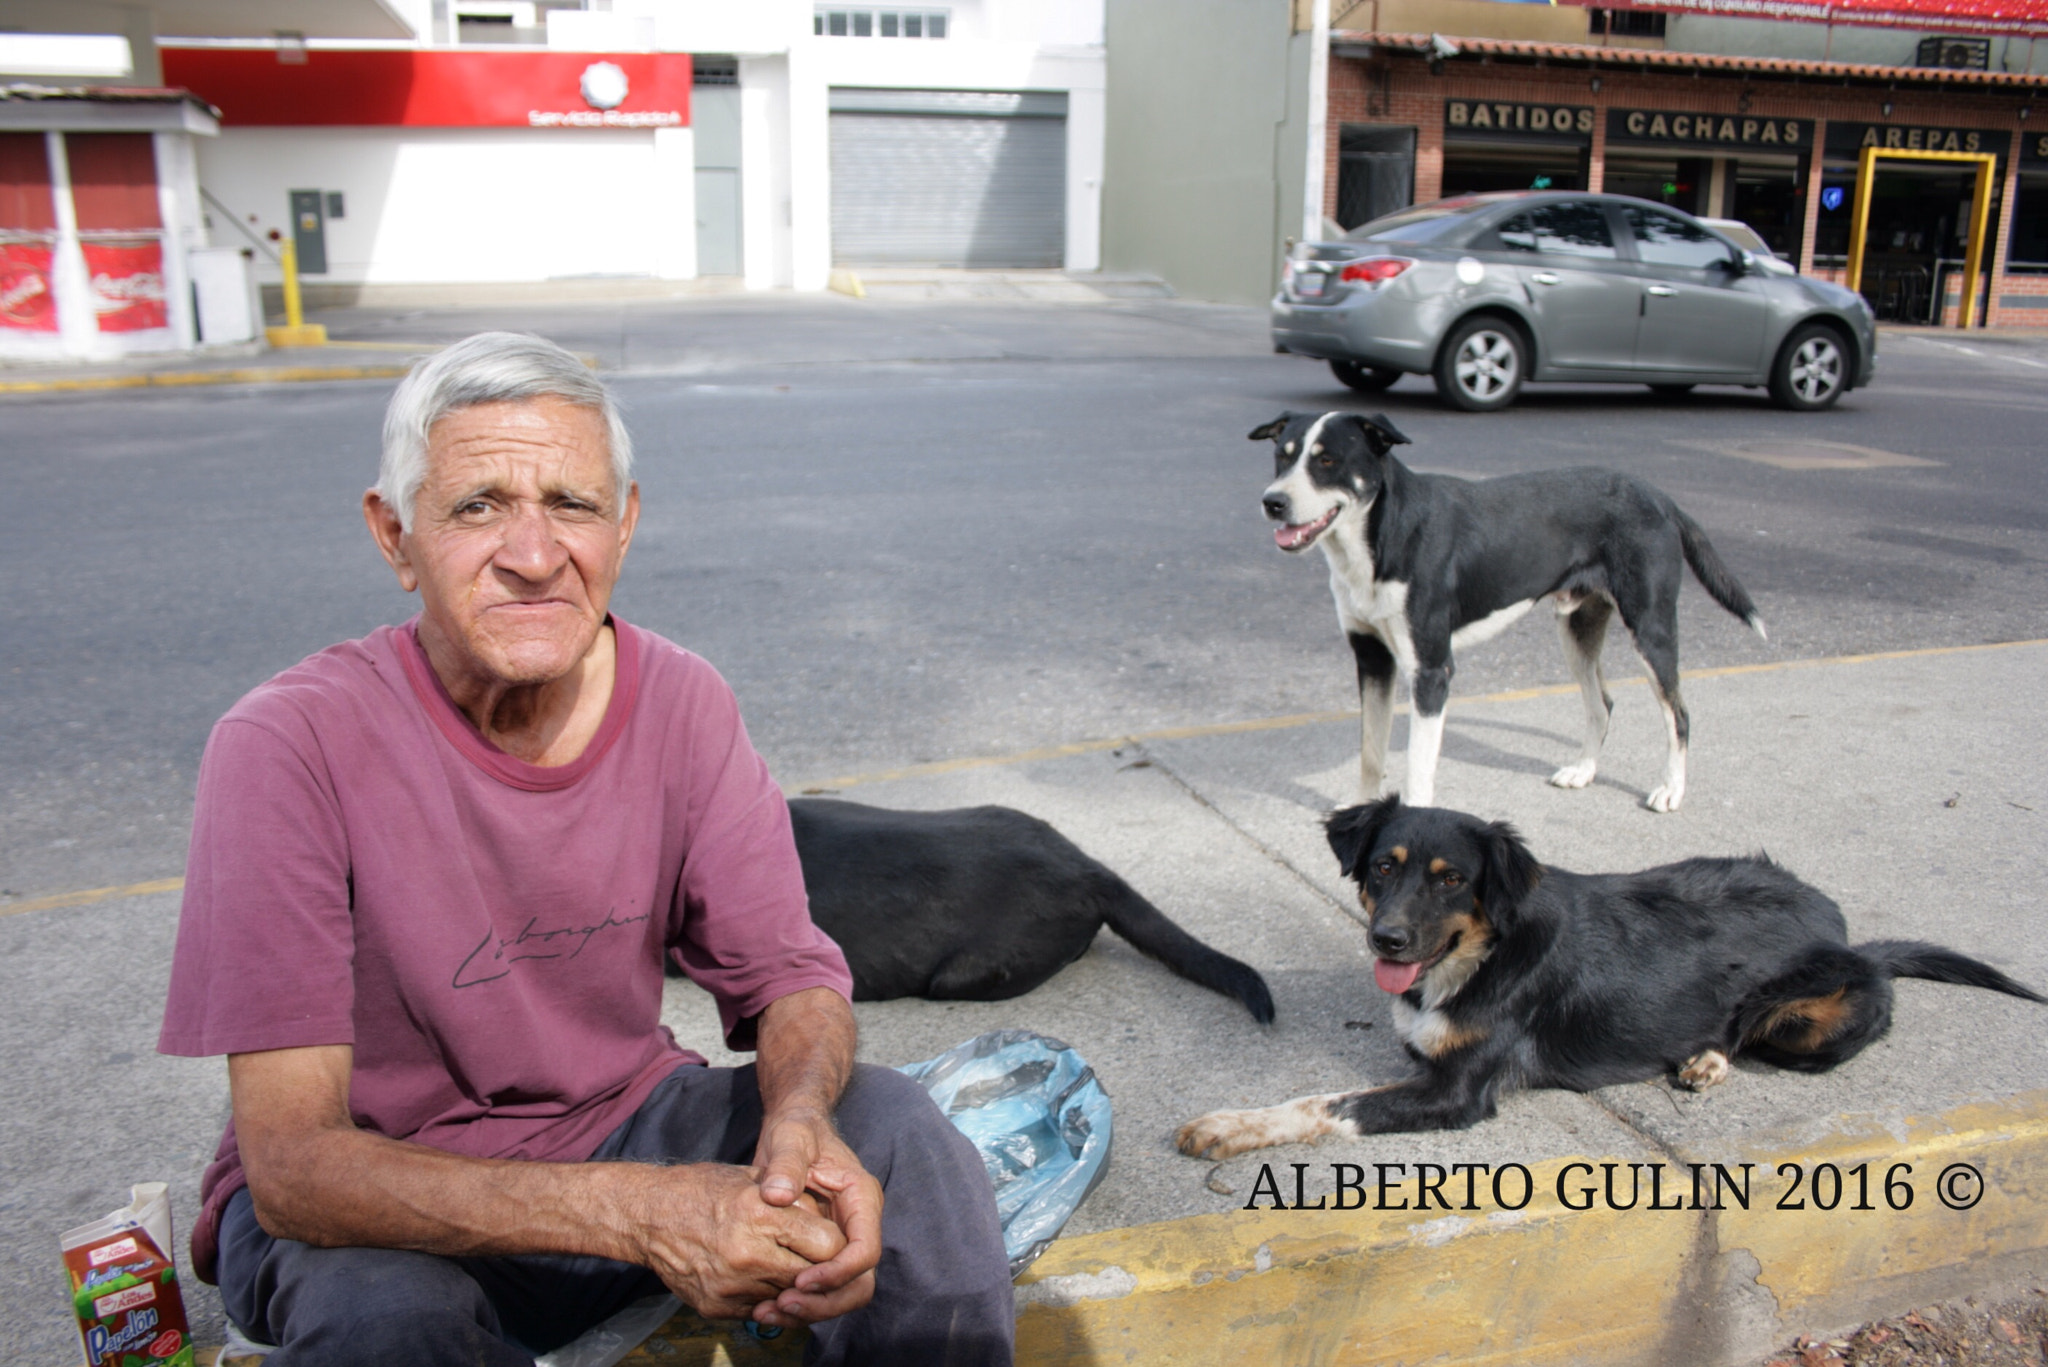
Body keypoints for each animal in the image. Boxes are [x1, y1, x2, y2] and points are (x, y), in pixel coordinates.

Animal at [1179, 795, 2039, 1164]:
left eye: (1452, 878)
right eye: (1383, 868)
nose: (1385, 936)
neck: (1481, 954)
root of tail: (1846, 927)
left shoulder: (1459, 1094)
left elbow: (1329, 1103)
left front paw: (1231, 1126)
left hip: (1815, 1016)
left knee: (1760, 1032)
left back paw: (1710, 1054)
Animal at [1253, 405, 1769, 811]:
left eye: (1327, 460)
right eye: (1283, 455)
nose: (1272, 502)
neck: (1381, 538)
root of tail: (1660, 497)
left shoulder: (1431, 672)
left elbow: (1417, 768)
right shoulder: (1372, 658)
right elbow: (1370, 752)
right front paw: (1362, 808)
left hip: (1652, 629)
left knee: (1678, 715)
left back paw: (1670, 790)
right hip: (1577, 628)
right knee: (1601, 703)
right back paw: (1583, 770)